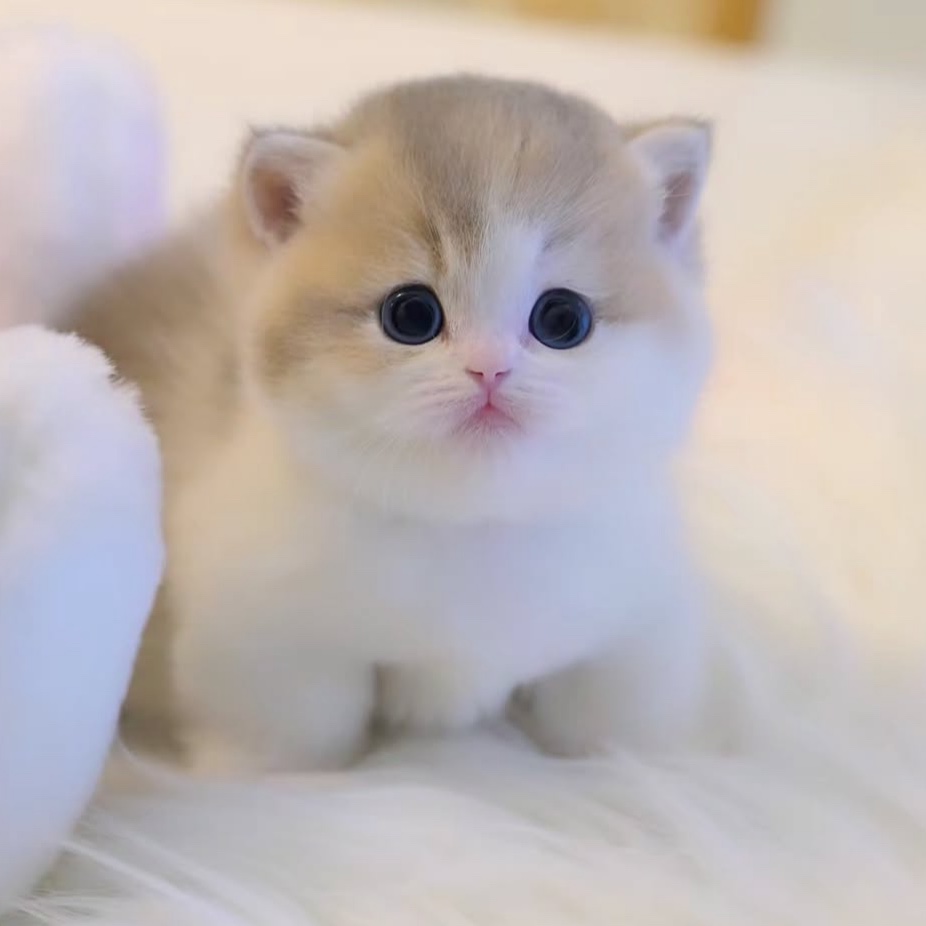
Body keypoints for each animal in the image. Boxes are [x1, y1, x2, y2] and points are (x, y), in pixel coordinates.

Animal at [65, 75, 714, 774]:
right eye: (411, 316)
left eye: (563, 319)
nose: (490, 370)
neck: (469, 530)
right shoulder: (263, 634)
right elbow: (294, 737)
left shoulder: (637, 615)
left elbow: (615, 715)